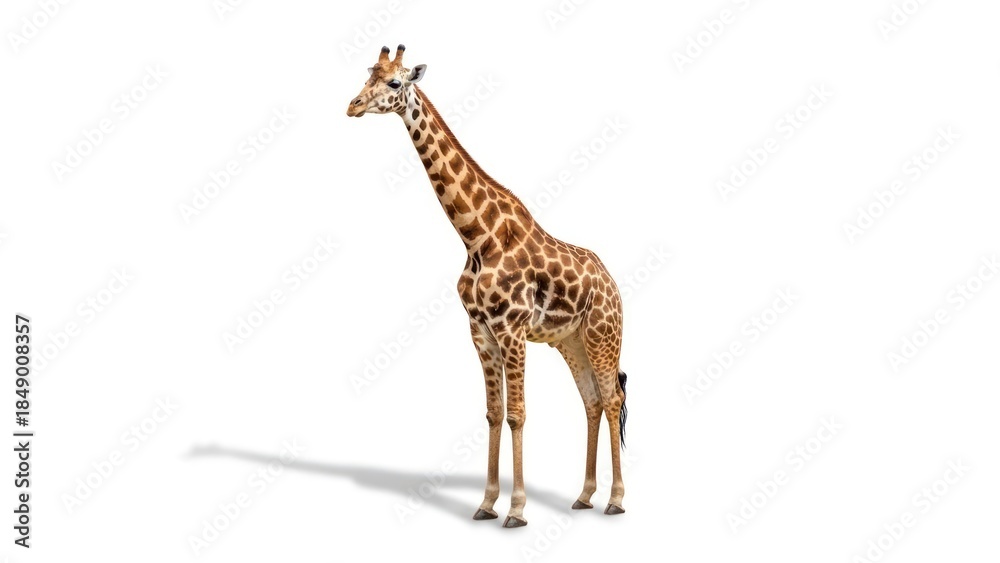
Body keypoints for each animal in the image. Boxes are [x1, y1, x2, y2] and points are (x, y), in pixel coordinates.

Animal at [347, 45, 629, 527]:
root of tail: (613, 285)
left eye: (395, 83)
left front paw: (516, 509)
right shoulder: (479, 331)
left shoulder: (511, 329)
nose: (353, 105)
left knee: (612, 400)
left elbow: (517, 414)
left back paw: (616, 499)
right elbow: (494, 414)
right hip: (571, 341)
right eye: (367, 76)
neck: (477, 237)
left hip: (601, 335)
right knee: (592, 401)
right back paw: (584, 495)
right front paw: (485, 503)